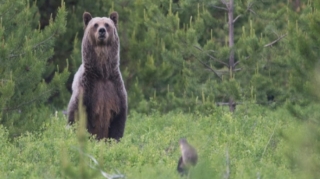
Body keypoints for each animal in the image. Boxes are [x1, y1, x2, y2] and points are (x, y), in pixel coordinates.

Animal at [67, 11, 127, 141]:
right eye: (95, 24)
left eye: (107, 24)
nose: (102, 30)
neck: (102, 74)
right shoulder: (87, 89)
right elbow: (79, 117)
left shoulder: (115, 89)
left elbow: (118, 122)